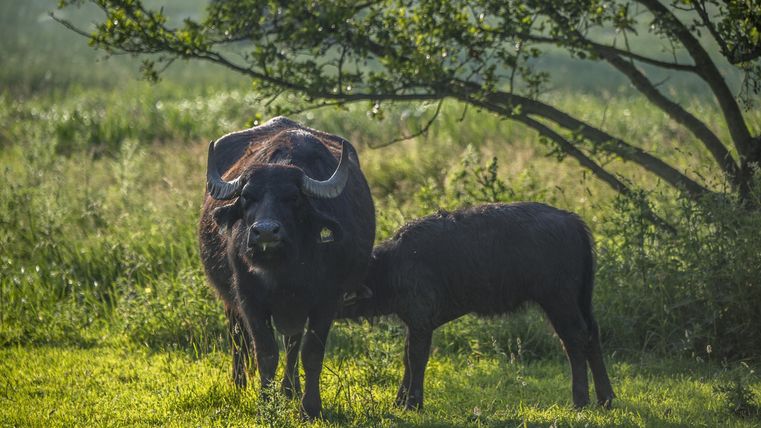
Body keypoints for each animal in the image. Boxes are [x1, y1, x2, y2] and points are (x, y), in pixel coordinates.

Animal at [199, 117, 375, 418]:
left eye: (293, 197)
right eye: (247, 196)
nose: (265, 232)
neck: (284, 271)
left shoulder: (326, 301)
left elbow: (310, 352)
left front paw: (310, 407)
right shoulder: (249, 300)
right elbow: (266, 352)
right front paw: (265, 404)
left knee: (292, 344)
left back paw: (290, 390)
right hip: (229, 301)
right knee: (237, 338)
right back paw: (240, 384)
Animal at [339, 202, 615, 410]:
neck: (390, 264)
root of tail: (572, 221)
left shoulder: (420, 321)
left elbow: (416, 358)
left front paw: (412, 404)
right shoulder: (414, 323)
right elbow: (407, 357)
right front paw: (400, 401)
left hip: (559, 301)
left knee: (574, 339)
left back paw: (580, 401)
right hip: (581, 300)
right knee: (592, 334)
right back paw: (605, 399)